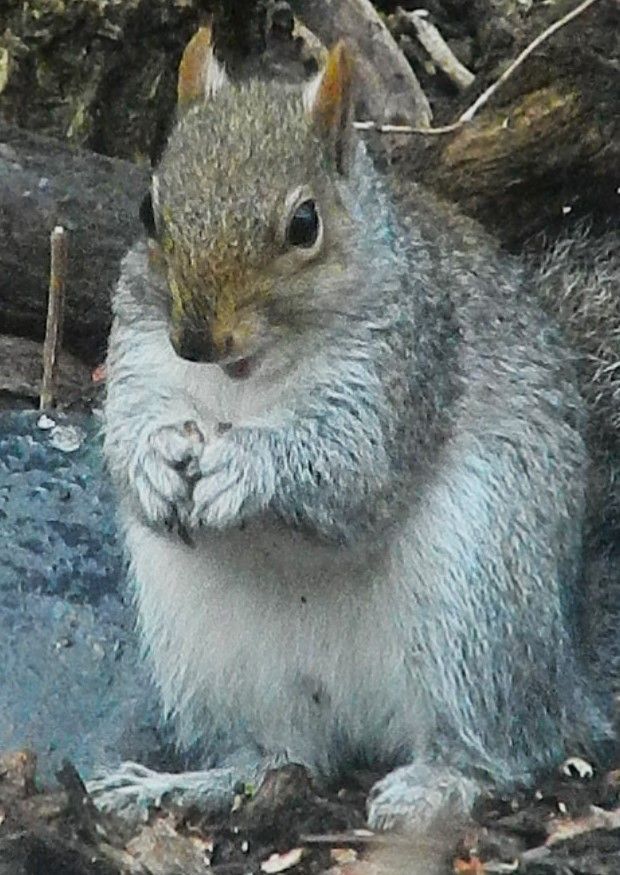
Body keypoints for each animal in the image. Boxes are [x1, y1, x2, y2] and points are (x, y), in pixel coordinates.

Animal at [96, 28, 619, 831]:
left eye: (304, 224)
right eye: (149, 210)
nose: (195, 339)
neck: (242, 379)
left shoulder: (404, 363)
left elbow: (351, 468)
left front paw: (247, 467)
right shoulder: (140, 352)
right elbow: (123, 428)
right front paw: (154, 461)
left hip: (479, 610)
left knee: (505, 745)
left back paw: (435, 783)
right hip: (216, 656)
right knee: (285, 757)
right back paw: (183, 786)